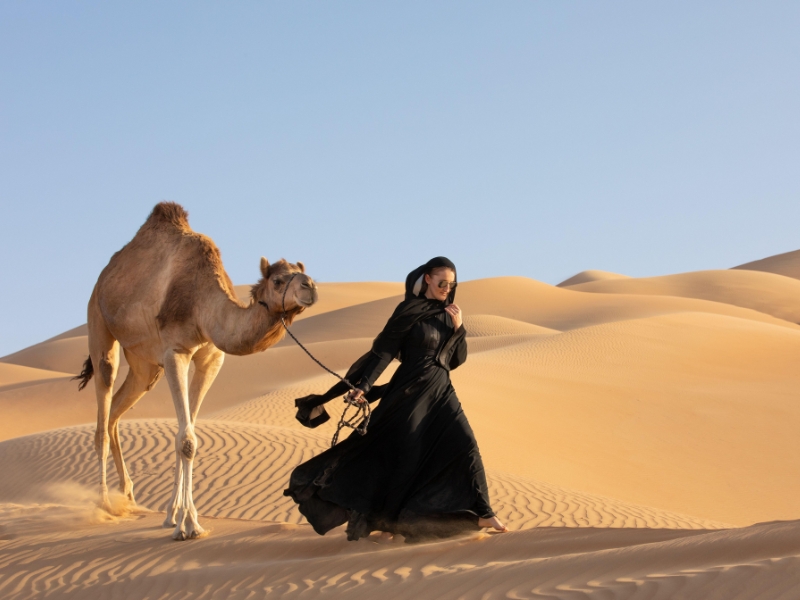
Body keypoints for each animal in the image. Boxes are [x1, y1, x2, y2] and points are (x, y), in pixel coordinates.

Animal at [75, 202, 317, 540]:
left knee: (115, 415)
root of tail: (102, 278)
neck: (203, 304)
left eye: (303, 272)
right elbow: (186, 439)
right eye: (279, 281)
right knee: (103, 399)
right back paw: (104, 504)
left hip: (144, 366)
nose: (311, 286)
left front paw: (174, 515)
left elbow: (188, 431)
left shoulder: (210, 358)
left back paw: (128, 496)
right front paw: (189, 524)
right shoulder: (175, 351)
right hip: (98, 321)